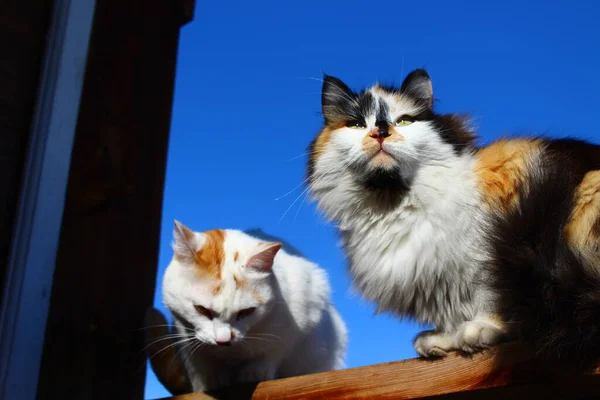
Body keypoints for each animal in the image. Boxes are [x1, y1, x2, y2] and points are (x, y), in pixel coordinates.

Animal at [161, 222, 346, 394]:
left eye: (246, 312)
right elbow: (200, 367)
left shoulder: (299, 320)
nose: (223, 341)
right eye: (201, 309)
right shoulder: (185, 338)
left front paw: (254, 373)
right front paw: (212, 380)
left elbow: (273, 351)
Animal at [308, 69, 600, 368]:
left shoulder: (493, 254)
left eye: (404, 120)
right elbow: (452, 311)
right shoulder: (440, 281)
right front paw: (444, 339)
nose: (381, 132)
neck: (392, 205)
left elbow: (494, 296)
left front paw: (485, 328)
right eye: (356, 124)